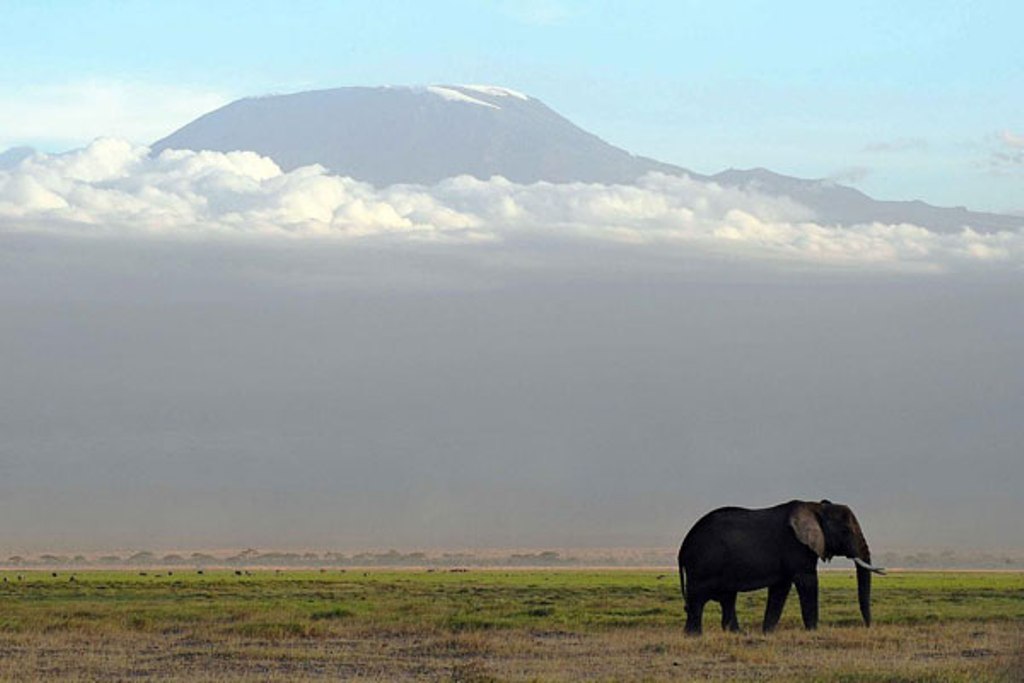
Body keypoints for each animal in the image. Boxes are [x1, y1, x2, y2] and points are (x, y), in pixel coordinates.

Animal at [677, 499, 885, 635]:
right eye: (846, 530)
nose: (868, 627)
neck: (816, 507)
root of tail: (683, 547)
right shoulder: (796, 546)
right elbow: (807, 581)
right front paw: (813, 632)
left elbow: (780, 589)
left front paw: (767, 633)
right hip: (703, 563)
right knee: (698, 599)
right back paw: (694, 636)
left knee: (727, 598)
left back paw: (736, 633)